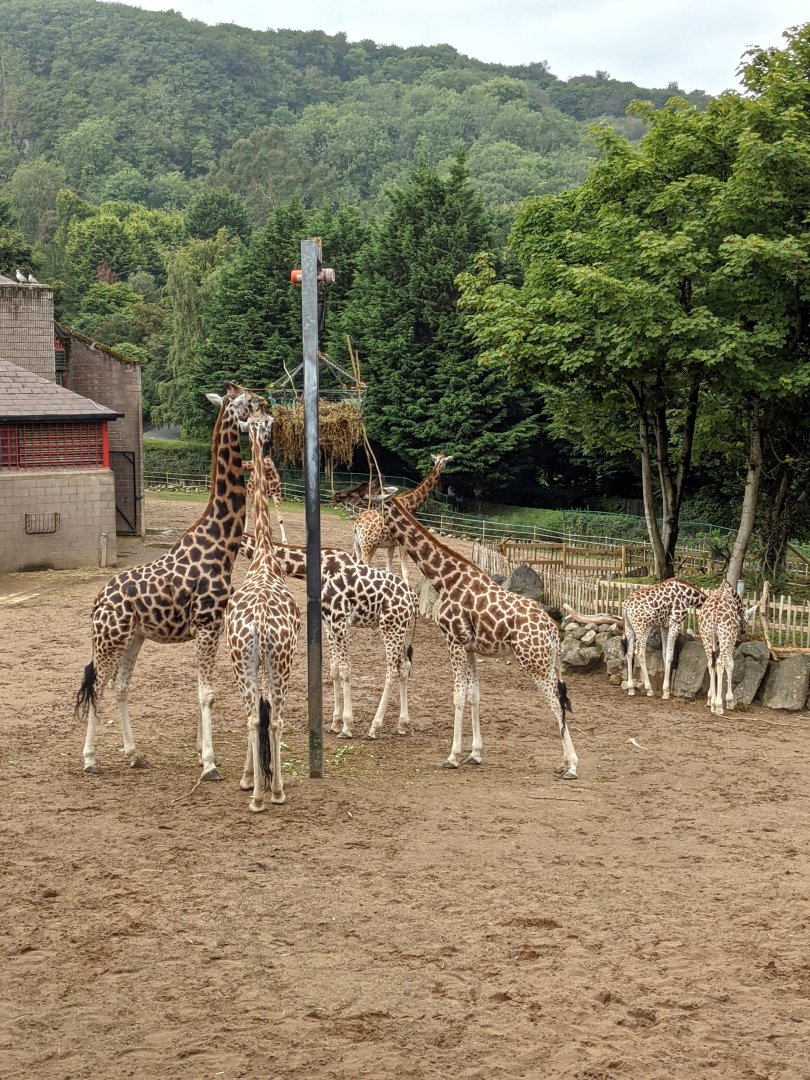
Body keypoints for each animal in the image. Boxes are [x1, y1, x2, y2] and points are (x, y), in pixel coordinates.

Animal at [75, 381, 266, 780]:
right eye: (251, 402)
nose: (268, 406)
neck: (221, 542)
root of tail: (98, 601)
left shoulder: (212, 626)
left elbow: (203, 691)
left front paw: (201, 751)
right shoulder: (207, 623)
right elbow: (207, 693)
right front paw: (209, 763)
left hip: (133, 638)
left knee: (120, 686)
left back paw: (134, 754)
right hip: (109, 639)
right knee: (97, 684)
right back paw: (90, 759)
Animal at [240, 535, 418, 741]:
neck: (314, 569)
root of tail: (413, 598)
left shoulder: (339, 620)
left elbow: (345, 669)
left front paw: (347, 726)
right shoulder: (328, 623)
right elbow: (334, 669)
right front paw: (335, 722)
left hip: (391, 627)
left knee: (392, 671)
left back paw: (374, 727)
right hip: (400, 629)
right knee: (404, 666)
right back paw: (402, 723)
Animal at [332, 478, 577, 775]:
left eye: (364, 491)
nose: (339, 495)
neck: (445, 579)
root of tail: (553, 632)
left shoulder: (454, 640)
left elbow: (458, 696)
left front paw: (452, 755)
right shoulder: (470, 647)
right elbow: (474, 695)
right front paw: (475, 753)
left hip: (534, 661)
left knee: (556, 702)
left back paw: (572, 766)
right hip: (547, 662)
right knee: (560, 701)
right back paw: (563, 763)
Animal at [333, 454, 453, 586]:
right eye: (445, 462)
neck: (410, 503)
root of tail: (357, 525)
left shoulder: (391, 545)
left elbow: (389, 570)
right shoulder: (403, 545)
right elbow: (405, 572)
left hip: (357, 545)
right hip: (369, 546)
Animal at [698, 580, 757, 716]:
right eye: (747, 619)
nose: (743, 631)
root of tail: (714, 614)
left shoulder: (716, 640)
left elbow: (712, 664)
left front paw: (710, 698)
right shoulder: (732, 638)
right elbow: (730, 663)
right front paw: (730, 701)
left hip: (706, 635)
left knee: (711, 663)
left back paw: (713, 703)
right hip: (726, 636)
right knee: (720, 663)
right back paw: (719, 705)